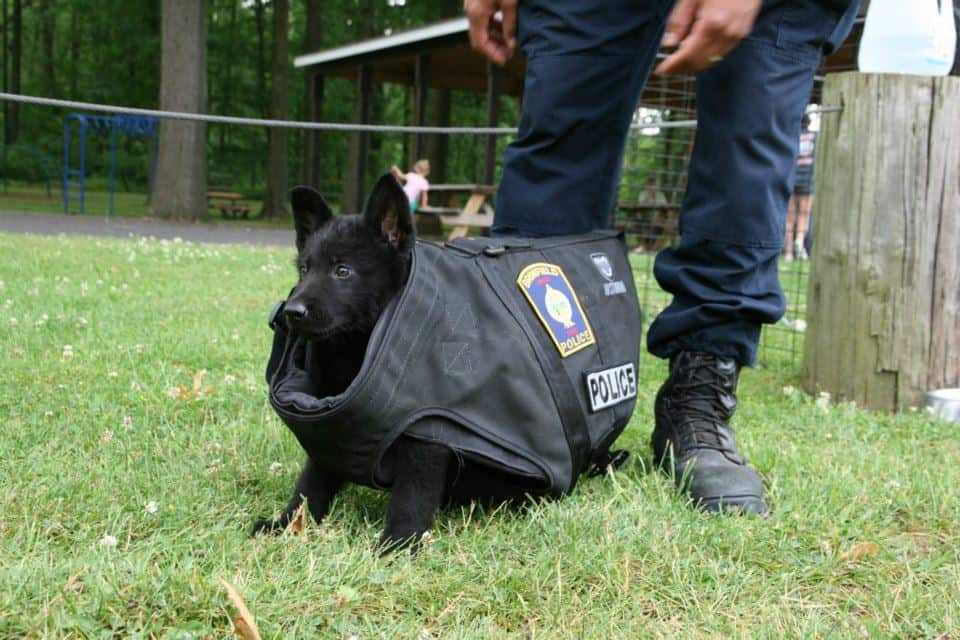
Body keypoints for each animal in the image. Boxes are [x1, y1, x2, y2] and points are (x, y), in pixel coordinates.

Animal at [253, 174, 524, 552]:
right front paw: (287, 523)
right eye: (304, 269)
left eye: (342, 271)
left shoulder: (426, 439)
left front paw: (397, 544)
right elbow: (311, 484)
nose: (292, 312)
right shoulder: (332, 425)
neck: (355, 347)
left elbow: (411, 496)